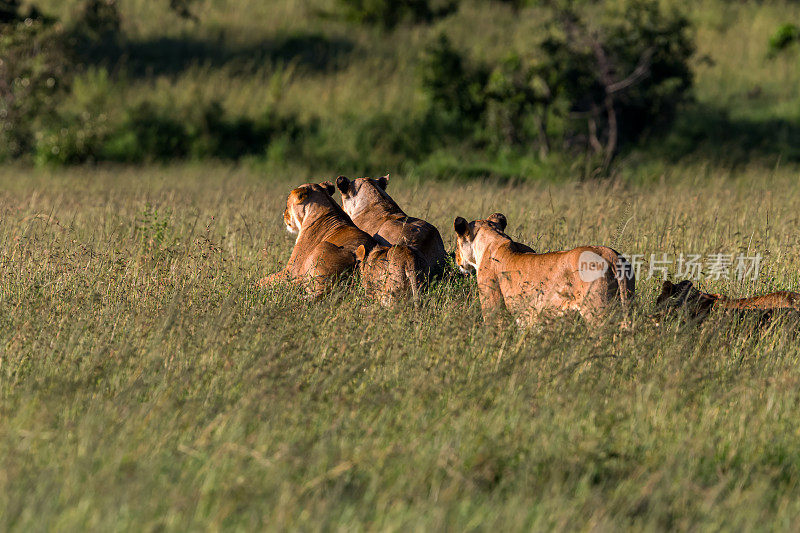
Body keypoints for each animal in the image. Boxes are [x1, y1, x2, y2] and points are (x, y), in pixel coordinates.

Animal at [454, 212, 636, 324]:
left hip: (597, 312)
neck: (493, 240)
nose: (456, 258)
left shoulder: (494, 308)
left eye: (457, 242)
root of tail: (610, 255)